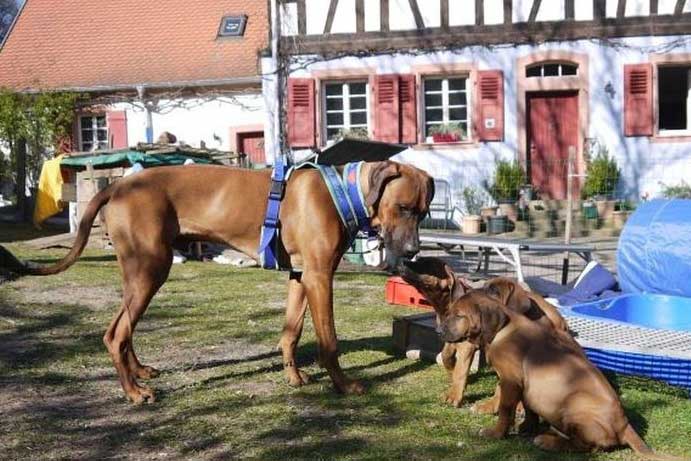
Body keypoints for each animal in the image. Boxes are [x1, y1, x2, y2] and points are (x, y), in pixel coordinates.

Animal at [1, 161, 432, 402]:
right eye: (402, 207)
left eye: (424, 211)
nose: (413, 250)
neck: (345, 192)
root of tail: (118, 183)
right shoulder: (320, 276)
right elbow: (329, 342)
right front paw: (343, 386)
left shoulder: (300, 275)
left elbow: (291, 331)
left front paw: (293, 377)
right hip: (152, 267)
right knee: (116, 333)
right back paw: (134, 393)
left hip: (138, 270)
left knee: (120, 328)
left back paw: (139, 373)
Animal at [398, 256, 572, 408]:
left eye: (425, 264)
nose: (402, 261)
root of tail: (561, 319)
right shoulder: (450, 336)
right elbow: (446, 356)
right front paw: (452, 372)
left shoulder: (466, 345)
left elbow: (460, 370)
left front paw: (454, 395)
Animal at [440, 288, 680, 456]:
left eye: (459, 315)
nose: (440, 330)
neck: (502, 329)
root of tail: (625, 426)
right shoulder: (526, 385)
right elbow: (529, 409)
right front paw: (527, 427)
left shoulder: (510, 381)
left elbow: (505, 411)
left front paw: (496, 434)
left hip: (573, 406)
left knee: (589, 446)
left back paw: (549, 441)